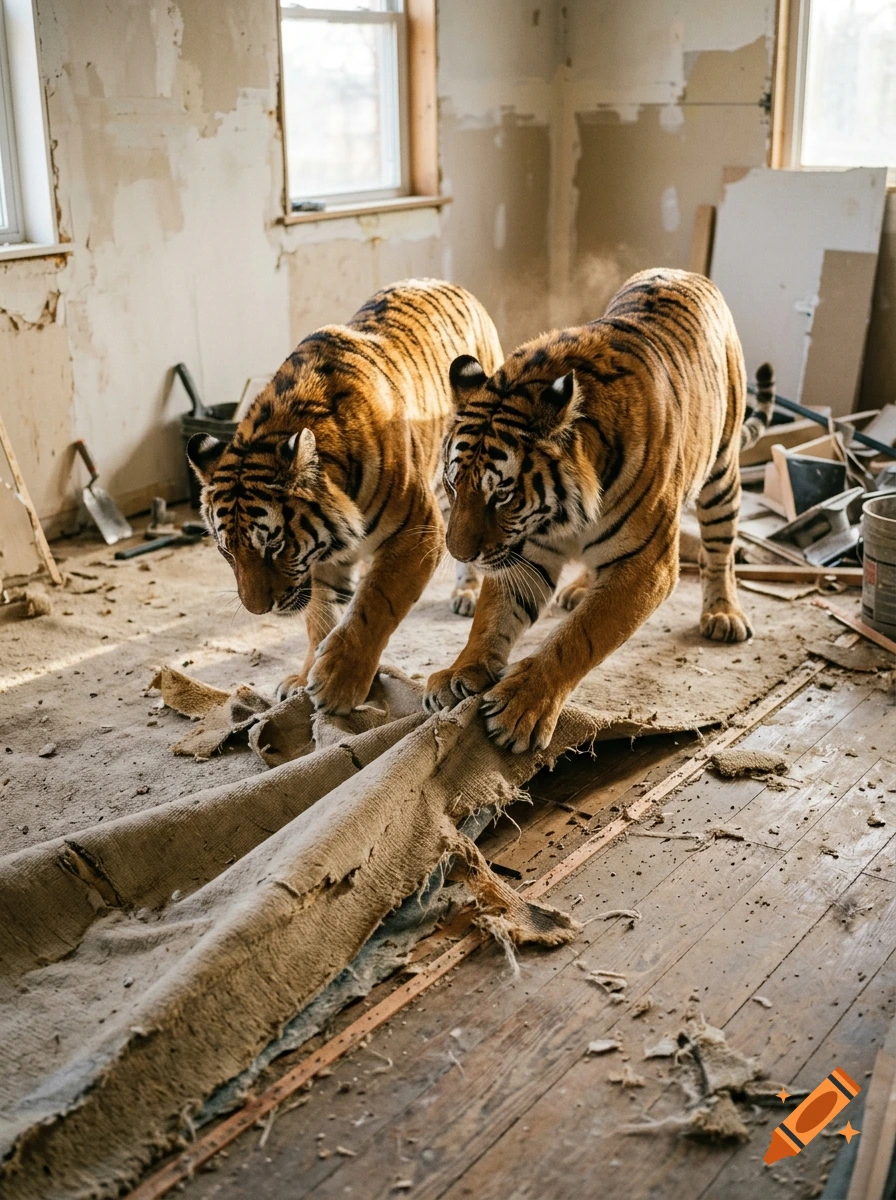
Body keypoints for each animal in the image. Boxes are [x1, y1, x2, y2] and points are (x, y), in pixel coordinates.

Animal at [187, 279, 502, 715]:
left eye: (274, 546)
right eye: (225, 552)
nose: (258, 610)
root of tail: (448, 283)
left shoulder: (416, 532)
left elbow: (375, 603)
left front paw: (338, 682)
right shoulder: (321, 557)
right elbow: (321, 616)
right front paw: (305, 679)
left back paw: (468, 593)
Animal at [424, 268, 775, 754]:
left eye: (503, 496)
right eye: (453, 486)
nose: (460, 555)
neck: (559, 516)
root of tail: (687, 273)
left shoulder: (647, 565)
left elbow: (580, 636)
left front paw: (521, 705)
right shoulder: (526, 551)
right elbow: (491, 618)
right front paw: (462, 671)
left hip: (722, 473)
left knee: (720, 550)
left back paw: (723, 614)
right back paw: (579, 589)